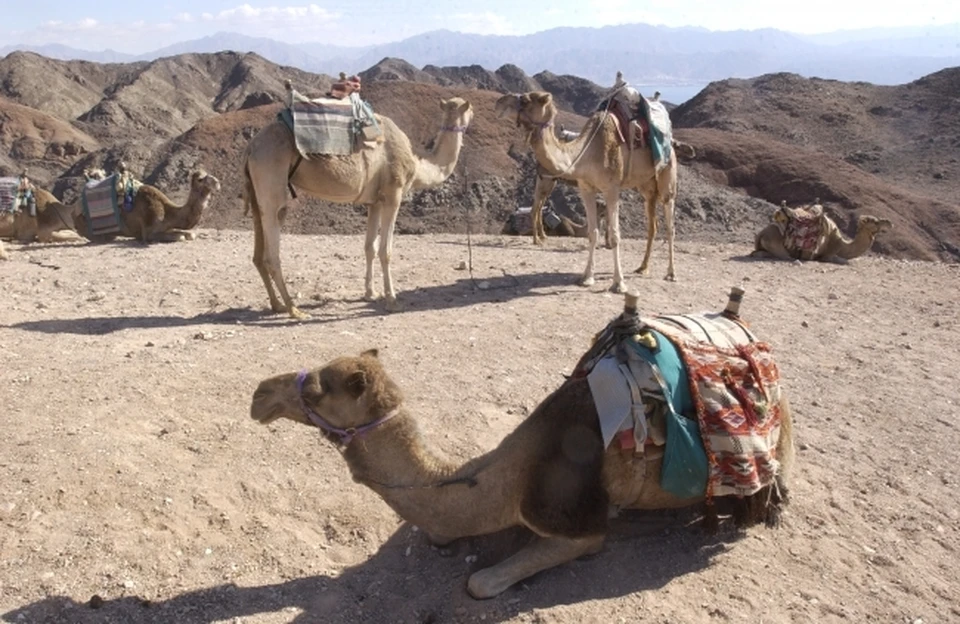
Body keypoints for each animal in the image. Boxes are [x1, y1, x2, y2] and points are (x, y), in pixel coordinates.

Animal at [74, 166, 221, 244]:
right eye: (200, 179)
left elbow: (190, 234)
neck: (167, 212)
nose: (218, 183)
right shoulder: (149, 232)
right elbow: (180, 236)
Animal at [244, 86, 472, 320]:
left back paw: (277, 305)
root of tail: (251, 147)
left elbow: (369, 247)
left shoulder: (375, 202)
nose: (471, 118)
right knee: (272, 247)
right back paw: (293, 309)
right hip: (271, 176)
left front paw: (370, 293)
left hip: (256, 191)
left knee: (258, 251)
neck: (417, 166)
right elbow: (386, 251)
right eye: (470, 109)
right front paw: (392, 300)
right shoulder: (393, 194)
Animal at [496, 90, 684, 290]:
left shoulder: (612, 189)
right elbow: (592, 233)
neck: (586, 154)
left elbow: (615, 235)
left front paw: (619, 283)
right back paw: (642, 267)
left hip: (667, 177)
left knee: (670, 224)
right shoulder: (586, 188)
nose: (498, 103)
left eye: (525, 100)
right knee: (652, 225)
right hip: (646, 186)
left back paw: (671, 273)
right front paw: (587, 277)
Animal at [752, 200, 892, 264]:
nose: (889, 223)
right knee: (784, 256)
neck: (841, 244)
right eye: (874, 221)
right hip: (778, 246)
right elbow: (843, 260)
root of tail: (761, 234)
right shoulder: (828, 255)